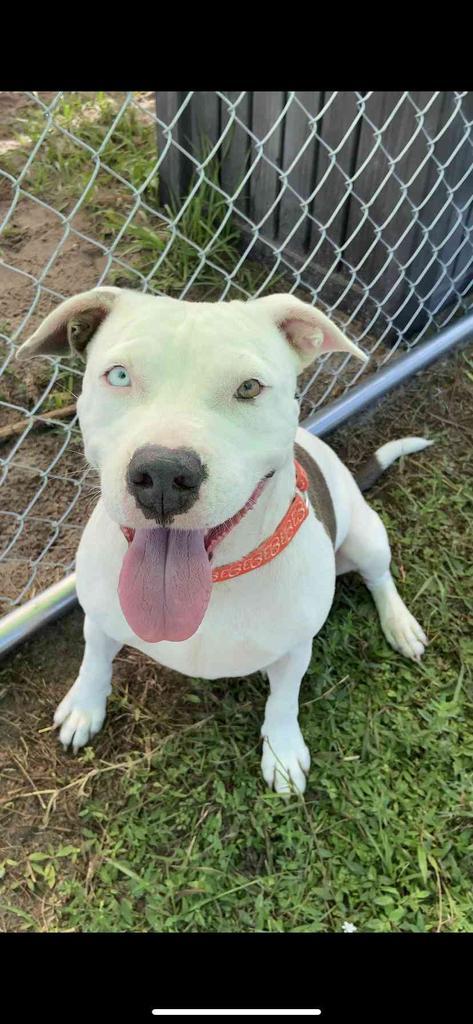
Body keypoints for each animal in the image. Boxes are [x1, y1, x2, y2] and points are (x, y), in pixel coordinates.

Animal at [18, 288, 430, 790]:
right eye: (119, 375)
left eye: (249, 388)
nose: (162, 474)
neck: (217, 580)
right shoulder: (99, 617)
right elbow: (93, 661)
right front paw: (84, 706)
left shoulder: (295, 650)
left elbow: (283, 702)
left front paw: (283, 751)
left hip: (367, 537)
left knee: (380, 578)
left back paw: (400, 625)